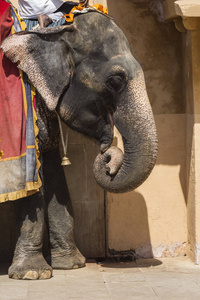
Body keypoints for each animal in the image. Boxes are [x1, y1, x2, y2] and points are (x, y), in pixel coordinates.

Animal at [1, 8, 158, 278]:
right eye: (115, 81)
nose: (107, 155)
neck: (50, 31)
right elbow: (32, 181)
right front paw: (33, 274)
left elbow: (54, 174)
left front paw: (72, 265)